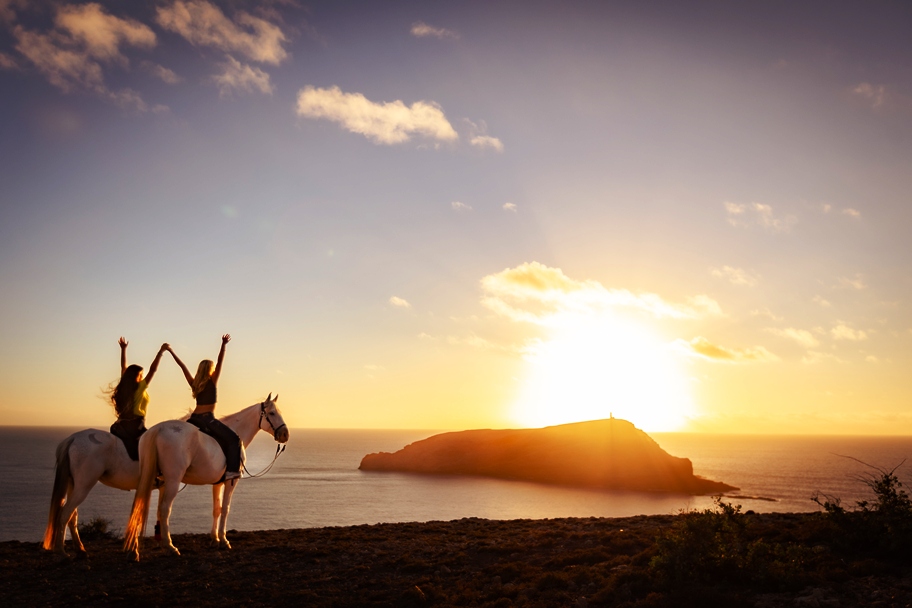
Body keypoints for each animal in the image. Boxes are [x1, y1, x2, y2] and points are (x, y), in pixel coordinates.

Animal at [123, 394, 289, 560]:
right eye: (272, 413)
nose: (285, 434)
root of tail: (158, 430)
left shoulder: (218, 483)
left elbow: (216, 509)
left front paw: (215, 539)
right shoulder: (231, 481)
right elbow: (225, 509)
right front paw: (224, 540)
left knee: (141, 507)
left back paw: (135, 550)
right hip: (172, 481)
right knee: (164, 509)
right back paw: (170, 547)